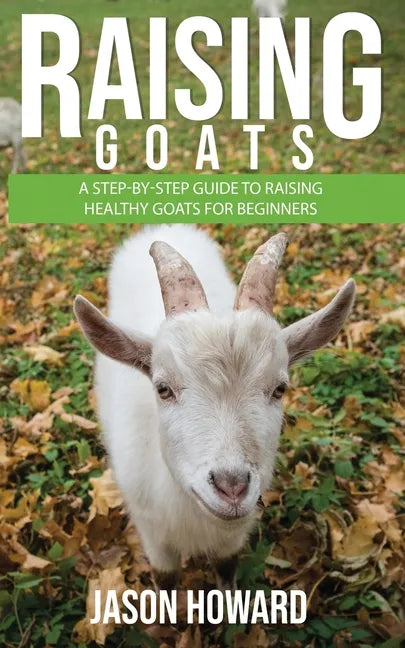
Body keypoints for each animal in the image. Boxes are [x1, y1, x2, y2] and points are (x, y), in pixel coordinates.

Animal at [74, 225, 355, 589]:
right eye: (162, 389)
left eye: (280, 388)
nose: (231, 487)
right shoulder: (153, 535)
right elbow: (166, 580)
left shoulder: (232, 538)